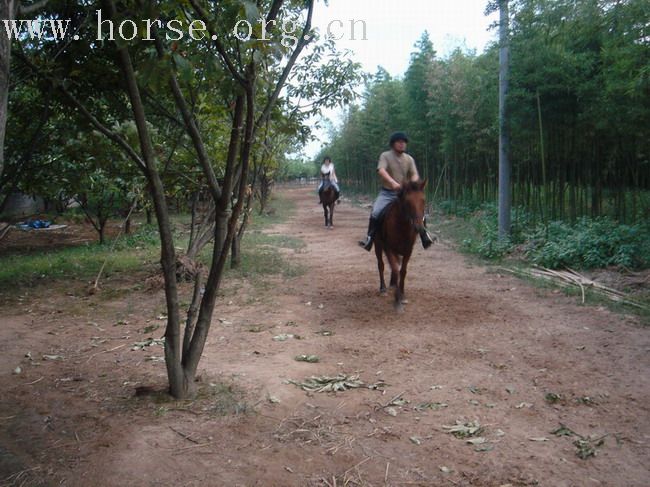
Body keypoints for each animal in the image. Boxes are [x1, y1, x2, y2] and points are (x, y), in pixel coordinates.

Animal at [372, 180, 428, 312]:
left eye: (423, 200)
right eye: (407, 202)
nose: (419, 227)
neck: (401, 226)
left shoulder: (408, 250)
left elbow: (402, 271)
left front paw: (402, 295)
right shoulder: (389, 248)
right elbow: (395, 269)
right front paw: (397, 300)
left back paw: (392, 284)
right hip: (378, 245)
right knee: (381, 265)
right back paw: (383, 288)